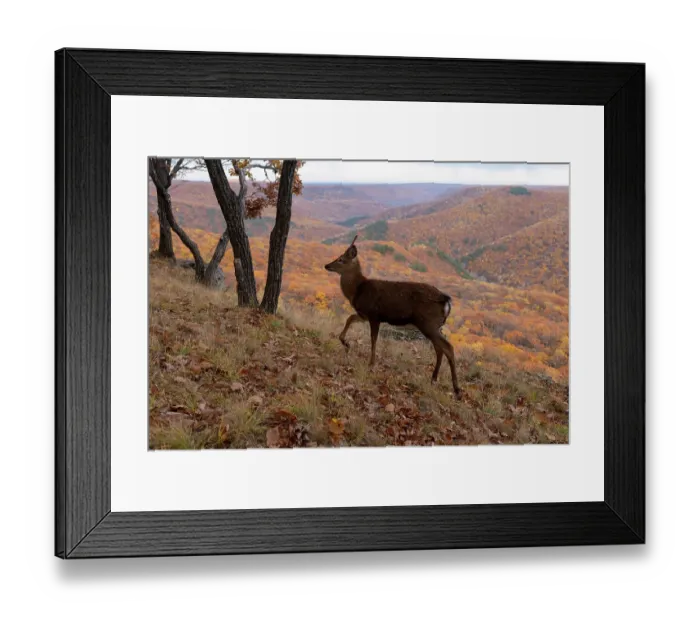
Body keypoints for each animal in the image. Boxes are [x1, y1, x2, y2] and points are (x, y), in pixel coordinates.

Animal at [324, 236, 461, 397]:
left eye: (341, 259)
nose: (327, 265)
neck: (357, 291)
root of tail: (446, 301)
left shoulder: (374, 314)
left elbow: (373, 339)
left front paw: (371, 364)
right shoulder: (364, 314)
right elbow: (349, 318)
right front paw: (346, 342)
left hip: (428, 323)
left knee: (448, 347)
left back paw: (457, 389)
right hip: (434, 325)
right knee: (439, 349)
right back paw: (433, 379)